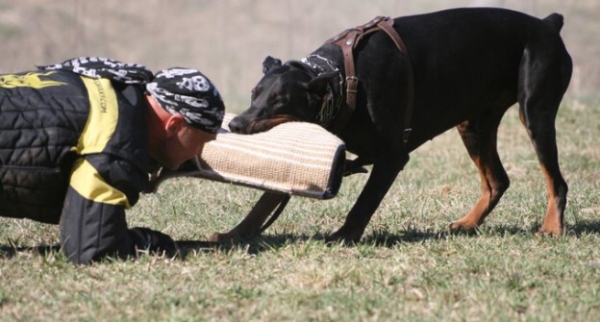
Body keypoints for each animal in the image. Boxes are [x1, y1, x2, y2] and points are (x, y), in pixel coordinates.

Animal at [229, 7, 572, 243]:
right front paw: (233, 235)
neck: (341, 80)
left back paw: (551, 228)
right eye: (254, 94)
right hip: (474, 125)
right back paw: (467, 223)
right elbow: (267, 199)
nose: (236, 124)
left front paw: (343, 236)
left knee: (555, 180)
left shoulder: (392, 156)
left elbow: (364, 203)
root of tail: (547, 24)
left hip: (535, 111)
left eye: (280, 101)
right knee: (497, 181)